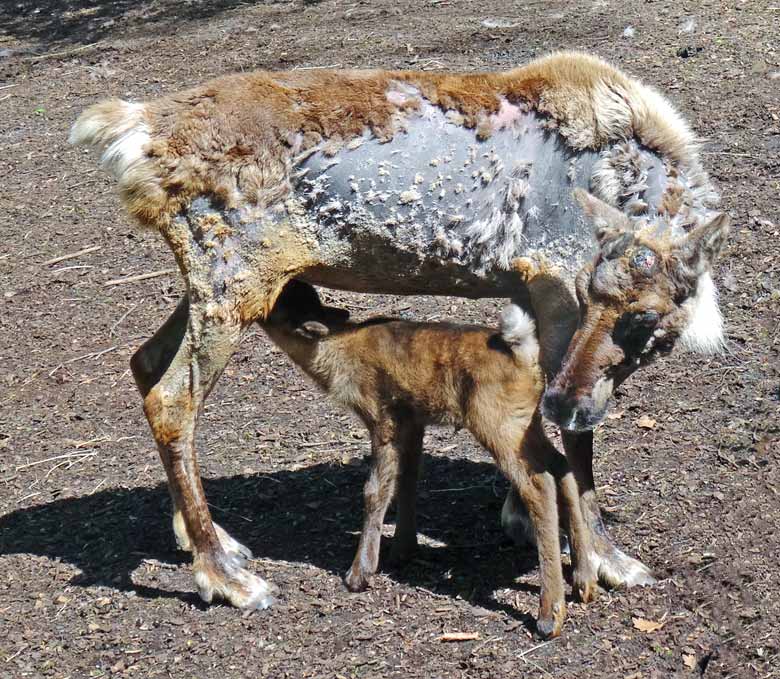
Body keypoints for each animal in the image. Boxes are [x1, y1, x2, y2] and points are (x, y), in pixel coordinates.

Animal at [262, 280, 596, 636]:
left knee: (539, 484)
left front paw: (358, 575)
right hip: (525, 422)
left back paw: (549, 617)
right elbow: (407, 479)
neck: (339, 348)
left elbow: (375, 490)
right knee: (561, 465)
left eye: (280, 302)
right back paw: (585, 582)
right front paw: (402, 550)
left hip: (497, 423)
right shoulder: (413, 420)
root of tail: (522, 350)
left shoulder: (383, 416)